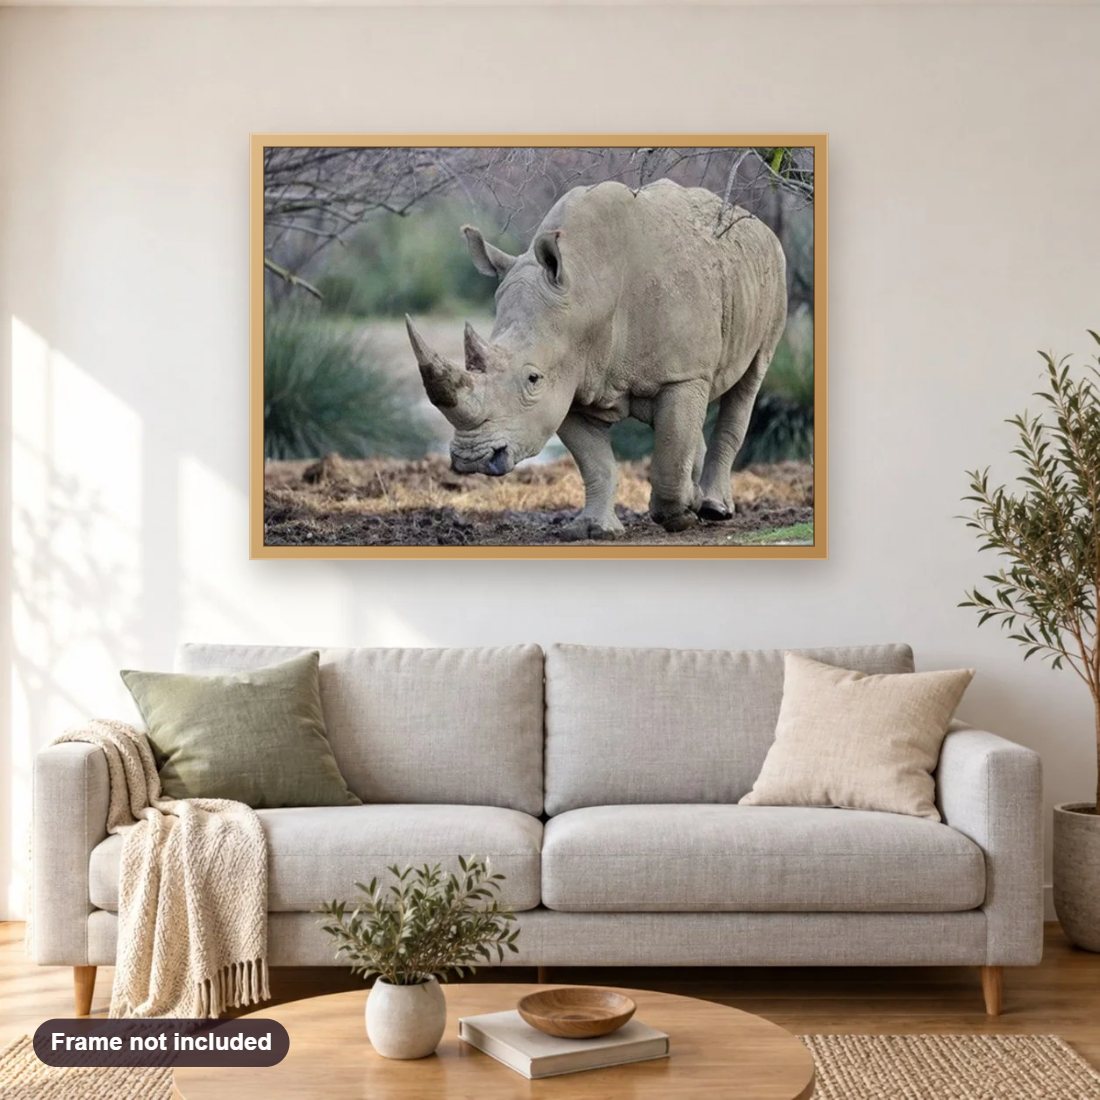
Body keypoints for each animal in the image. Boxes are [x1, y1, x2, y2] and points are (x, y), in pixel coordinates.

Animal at [405, 178, 788, 539]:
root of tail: (758, 224)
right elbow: (597, 463)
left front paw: (678, 515)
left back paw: (713, 508)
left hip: (775, 271)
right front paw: (593, 529)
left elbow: (668, 452)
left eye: (532, 379)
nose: (472, 459)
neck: (585, 293)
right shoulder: (569, 383)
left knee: (749, 383)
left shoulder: (682, 373)